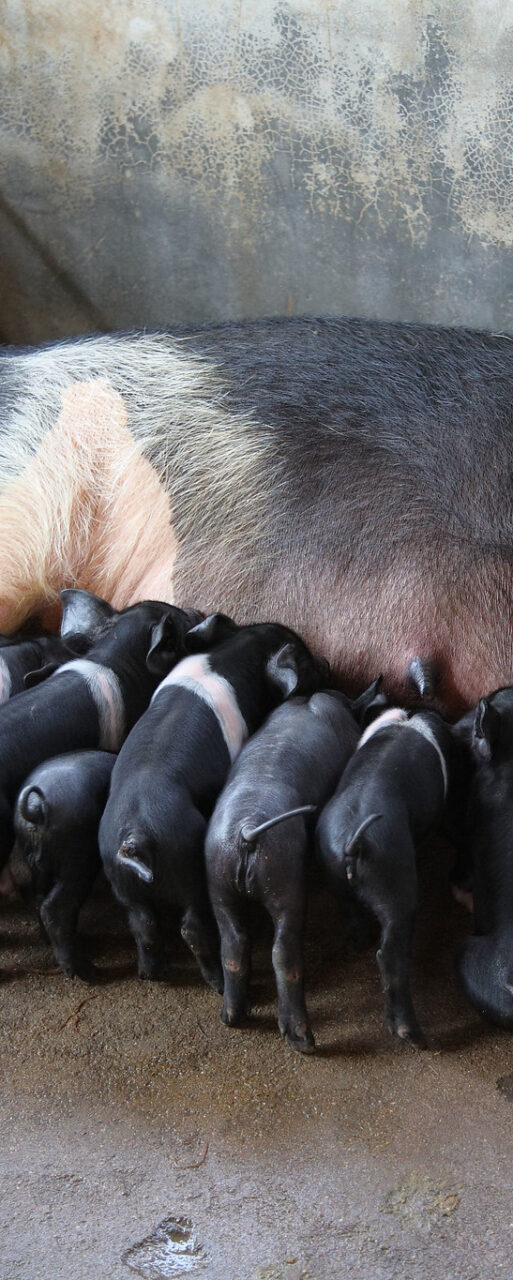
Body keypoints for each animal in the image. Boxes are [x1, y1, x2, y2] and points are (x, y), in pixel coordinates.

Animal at [14, 750, 116, 979]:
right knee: (54, 907)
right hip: (78, 859)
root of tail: (36, 808)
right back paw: (89, 973)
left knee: (39, 897)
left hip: (37, 864)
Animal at [99, 613, 327, 990]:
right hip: (185, 865)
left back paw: (152, 974)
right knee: (191, 927)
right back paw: (216, 981)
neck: (238, 653)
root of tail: (135, 837)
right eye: (304, 658)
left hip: (118, 877)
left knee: (142, 923)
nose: (326, 663)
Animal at [205, 680, 382, 1054]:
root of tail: (247, 831)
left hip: (218, 878)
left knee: (233, 943)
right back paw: (304, 1041)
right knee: (283, 953)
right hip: (284, 877)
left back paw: (232, 1016)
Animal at [316, 707, 455, 1048]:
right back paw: (414, 1037)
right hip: (395, 879)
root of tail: (354, 841)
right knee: (390, 953)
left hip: (333, 871)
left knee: (351, 914)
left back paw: (356, 945)